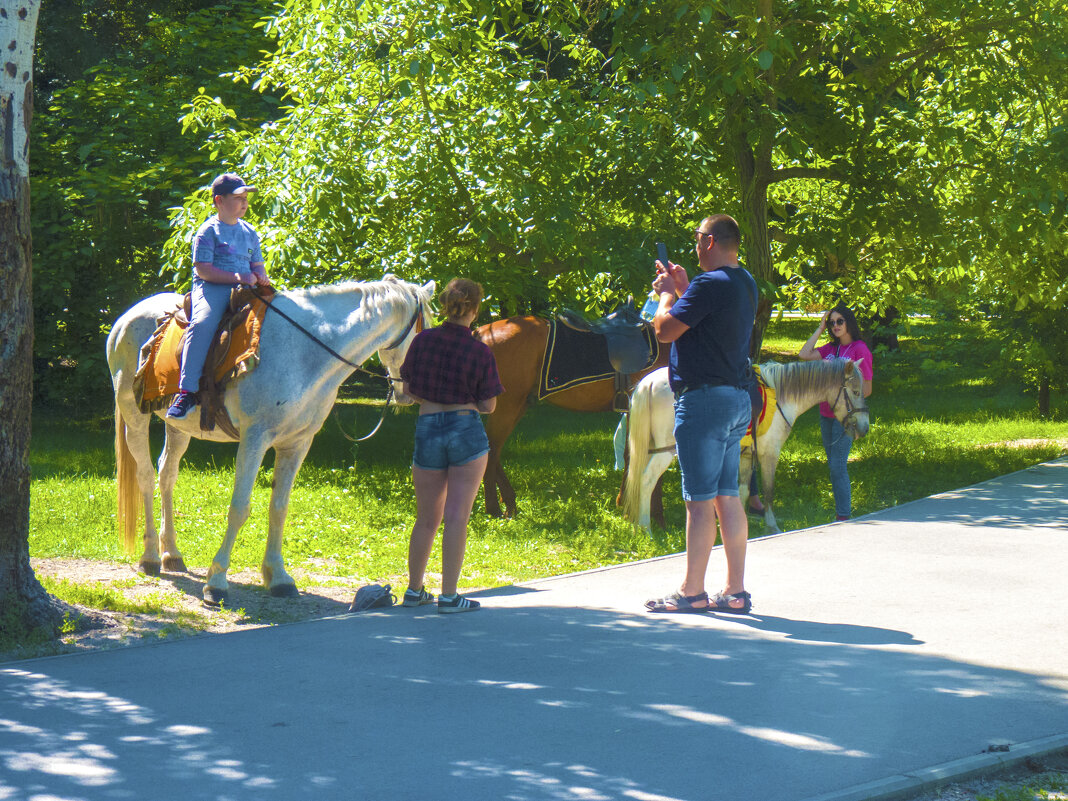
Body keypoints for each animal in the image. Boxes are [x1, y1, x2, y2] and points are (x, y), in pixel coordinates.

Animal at [107, 275, 433, 602]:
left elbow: (279, 508)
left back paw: (171, 553)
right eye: (425, 333)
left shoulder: (297, 444)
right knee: (146, 476)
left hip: (178, 428)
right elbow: (239, 509)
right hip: (134, 416)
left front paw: (278, 577)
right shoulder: (255, 440)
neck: (306, 351)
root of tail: (126, 318)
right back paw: (150, 556)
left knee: (167, 475)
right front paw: (217, 581)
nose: (411, 393)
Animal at [476, 316, 666, 516]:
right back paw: (494, 508)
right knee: (491, 451)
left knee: (492, 450)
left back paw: (509, 503)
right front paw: (651, 511)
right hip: (508, 405)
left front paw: (625, 502)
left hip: (518, 404)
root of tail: (481, 332)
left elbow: (630, 453)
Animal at [623, 363, 862, 534]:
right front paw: (771, 525)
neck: (782, 396)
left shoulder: (746, 456)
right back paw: (645, 528)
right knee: (647, 480)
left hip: (652, 447)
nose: (863, 427)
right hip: (666, 450)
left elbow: (743, 490)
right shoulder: (769, 453)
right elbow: (768, 490)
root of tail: (649, 382)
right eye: (857, 391)